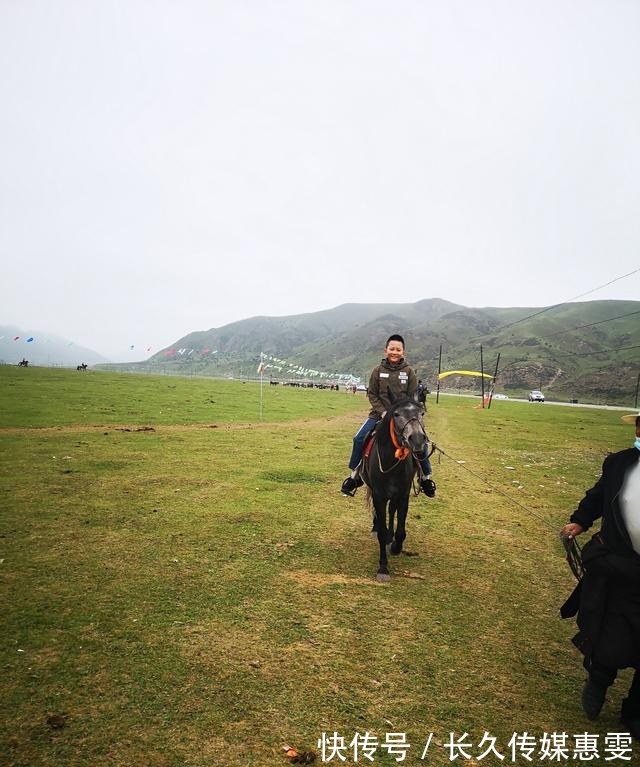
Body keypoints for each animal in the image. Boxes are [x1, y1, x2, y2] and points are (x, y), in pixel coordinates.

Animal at [360, 396, 430, 584]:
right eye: (397, 414)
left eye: (421, 413)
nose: (418, 439)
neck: (392, 462)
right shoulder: (379, 495)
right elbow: (382, 532)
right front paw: (383, 568)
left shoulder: (403, 495)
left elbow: (400, 530)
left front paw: (396, 547)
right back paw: (376, 527)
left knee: (392, 511)